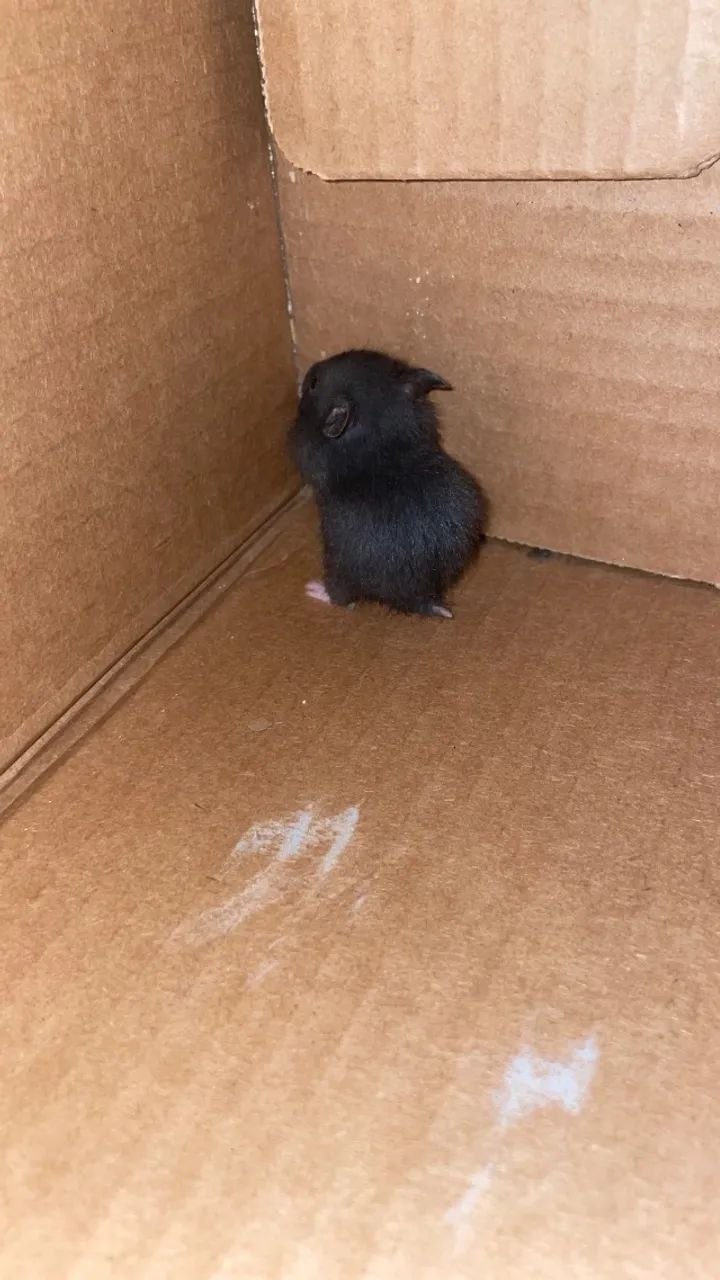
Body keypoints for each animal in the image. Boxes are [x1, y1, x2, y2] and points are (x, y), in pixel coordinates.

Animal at [289, 349, 486, 619]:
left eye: (314, 383)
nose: (311, 368)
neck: (380, 429)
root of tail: (423, 597)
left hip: (337, 564)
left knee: (342, 597)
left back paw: (314, 589)